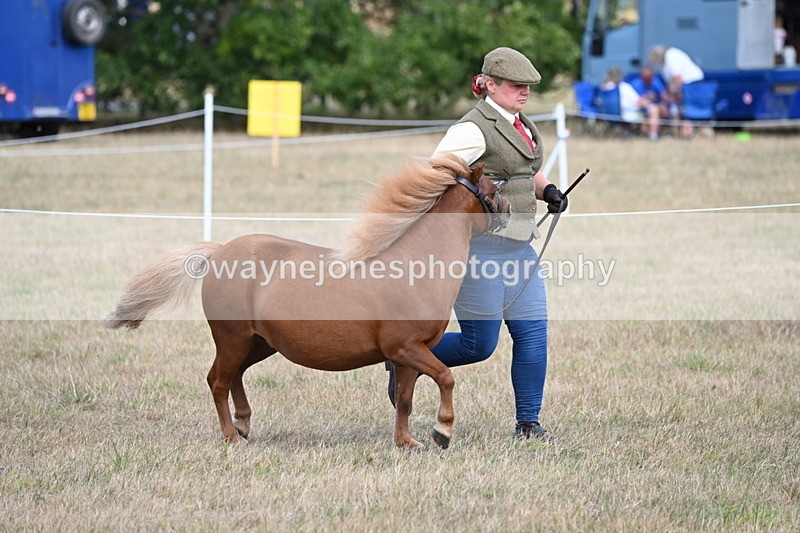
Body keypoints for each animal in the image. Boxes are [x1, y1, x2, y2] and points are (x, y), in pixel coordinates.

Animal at [105, 153, 509, 450]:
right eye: (491, 187)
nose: (508, 208)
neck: (413, 267)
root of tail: (219, 252)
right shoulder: (406, 348)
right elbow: (446, 377)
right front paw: (442, 432)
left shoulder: (409, 354)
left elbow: (406, 399)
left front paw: (406, 442)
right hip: (232, 338)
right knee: (217, 380)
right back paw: (231, 436)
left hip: (258, 343)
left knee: (233, 376)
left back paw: (244, 424)